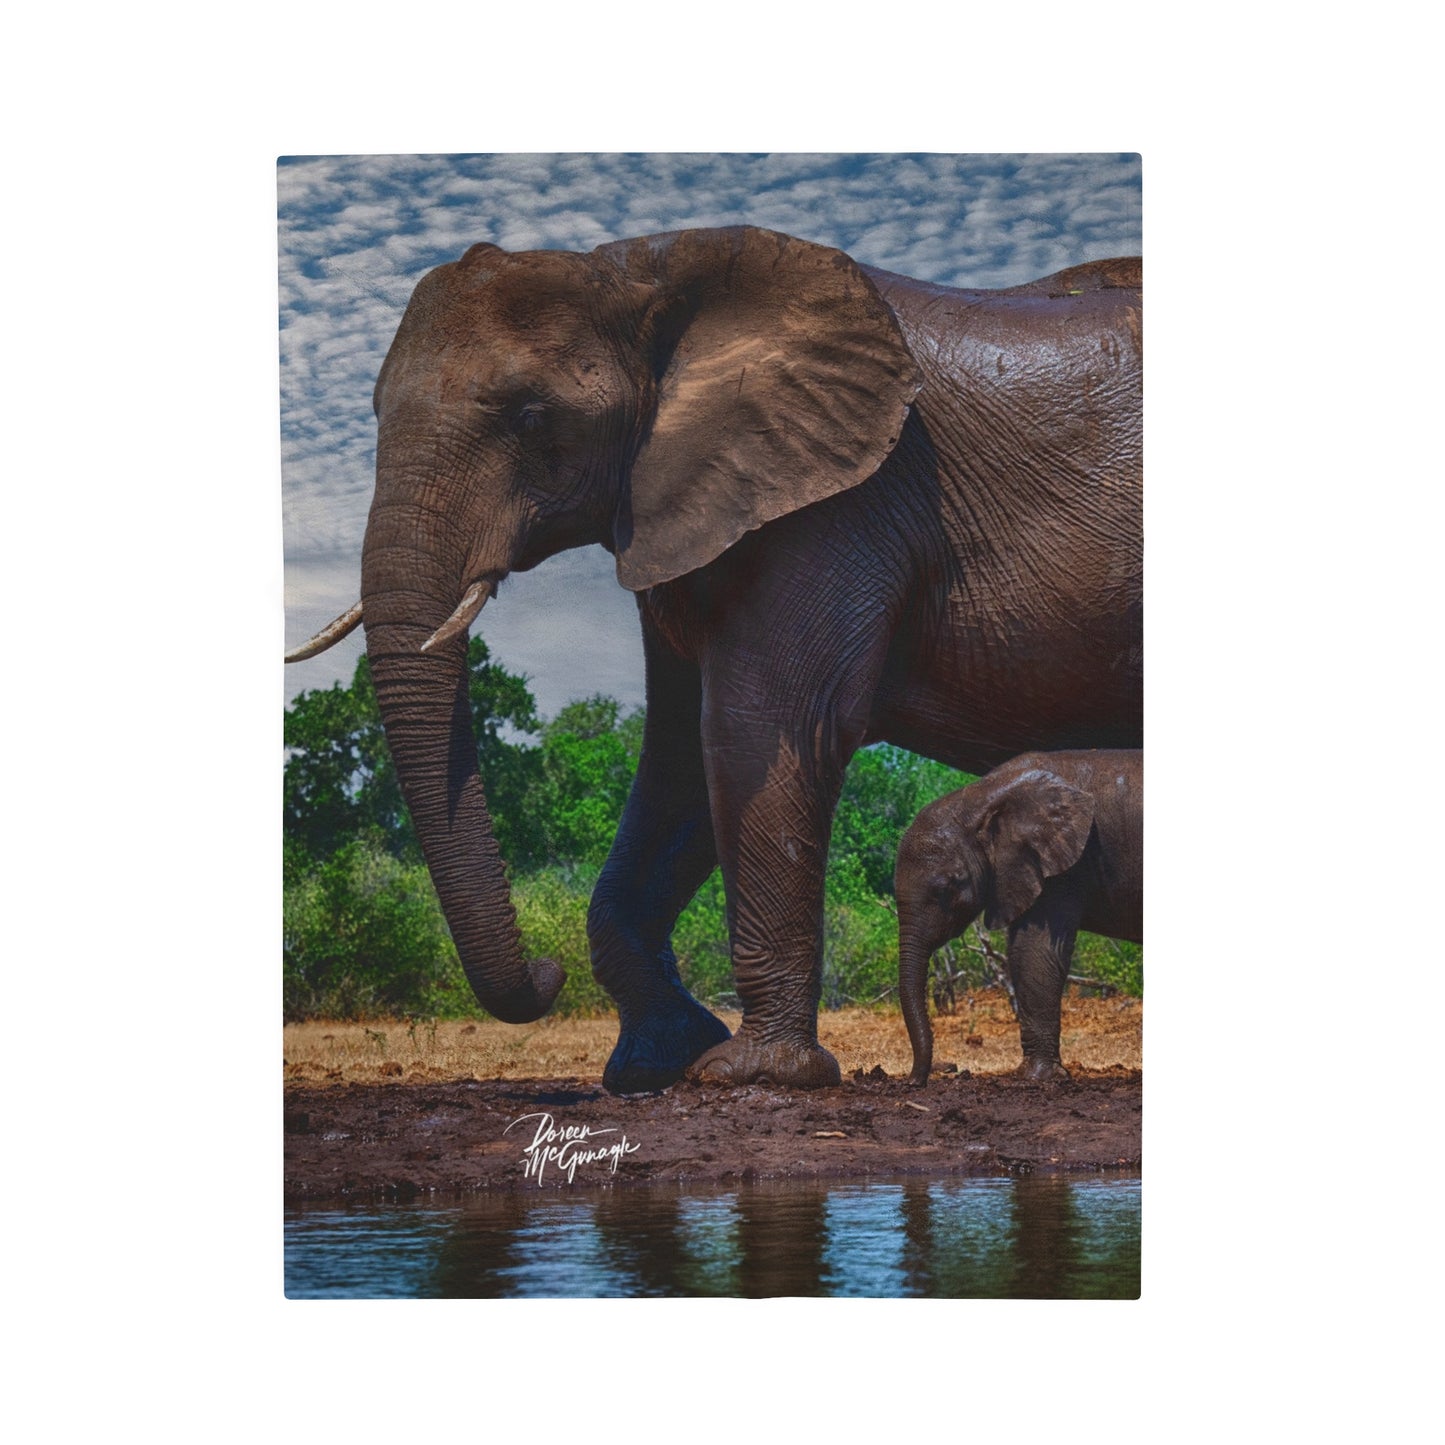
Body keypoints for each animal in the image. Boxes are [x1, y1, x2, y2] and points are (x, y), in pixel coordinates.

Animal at [895, 750, 1143, 1085]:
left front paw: (1037, 1078)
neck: (980, 798)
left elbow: (1032, 951)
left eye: (946, 888)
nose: (913, 1081)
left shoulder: (1062, 867)